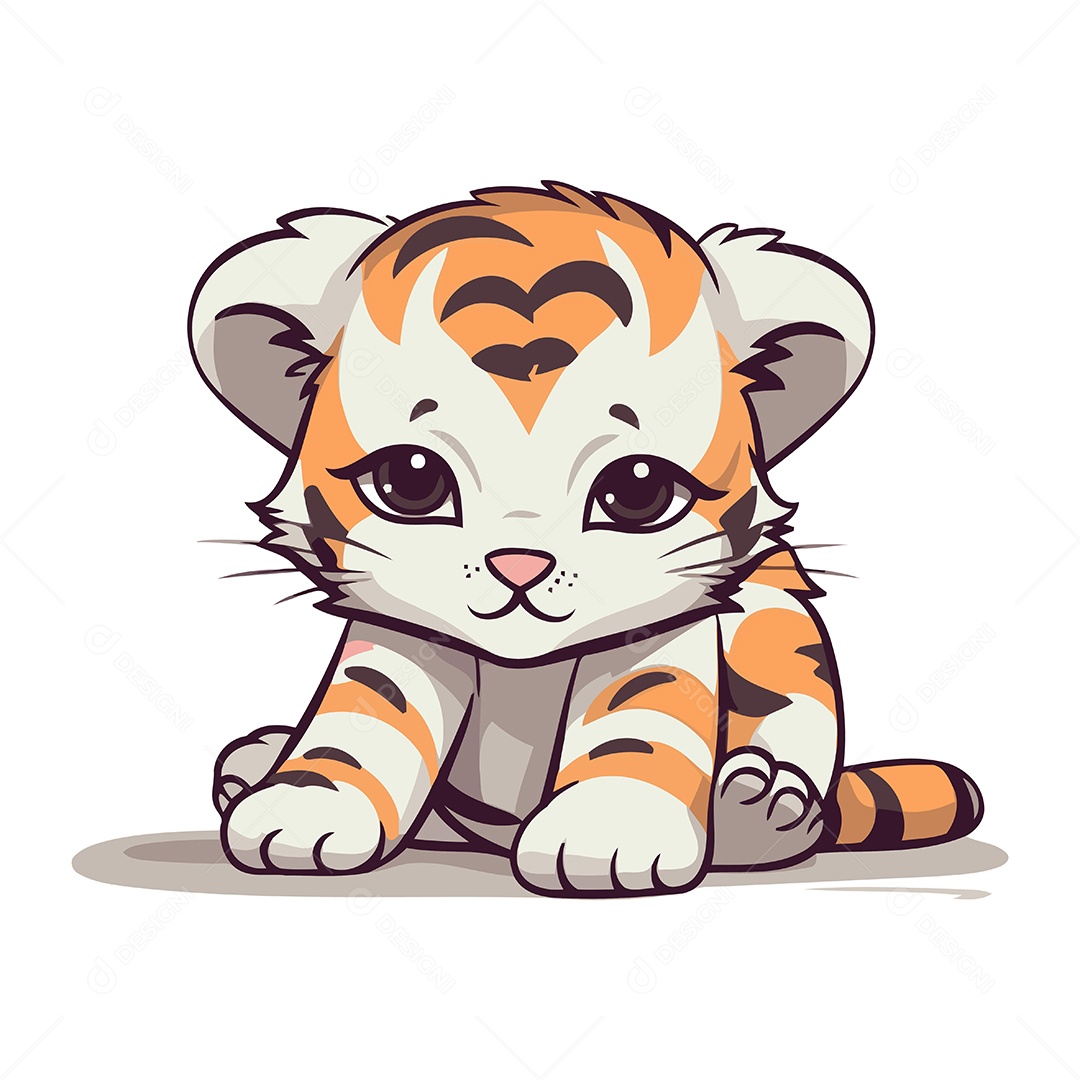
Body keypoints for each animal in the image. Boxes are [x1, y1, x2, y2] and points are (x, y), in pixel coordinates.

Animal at [188, 181, 983, 896]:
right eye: (410, 479)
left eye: (637, 490)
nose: (519, 564)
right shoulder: (398, 629)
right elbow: (364, 718)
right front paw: (303, 804)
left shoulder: (669, 625)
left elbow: (642, 721)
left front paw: (611, 833)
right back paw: (253, 761)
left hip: (777, 626)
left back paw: (756, 809)